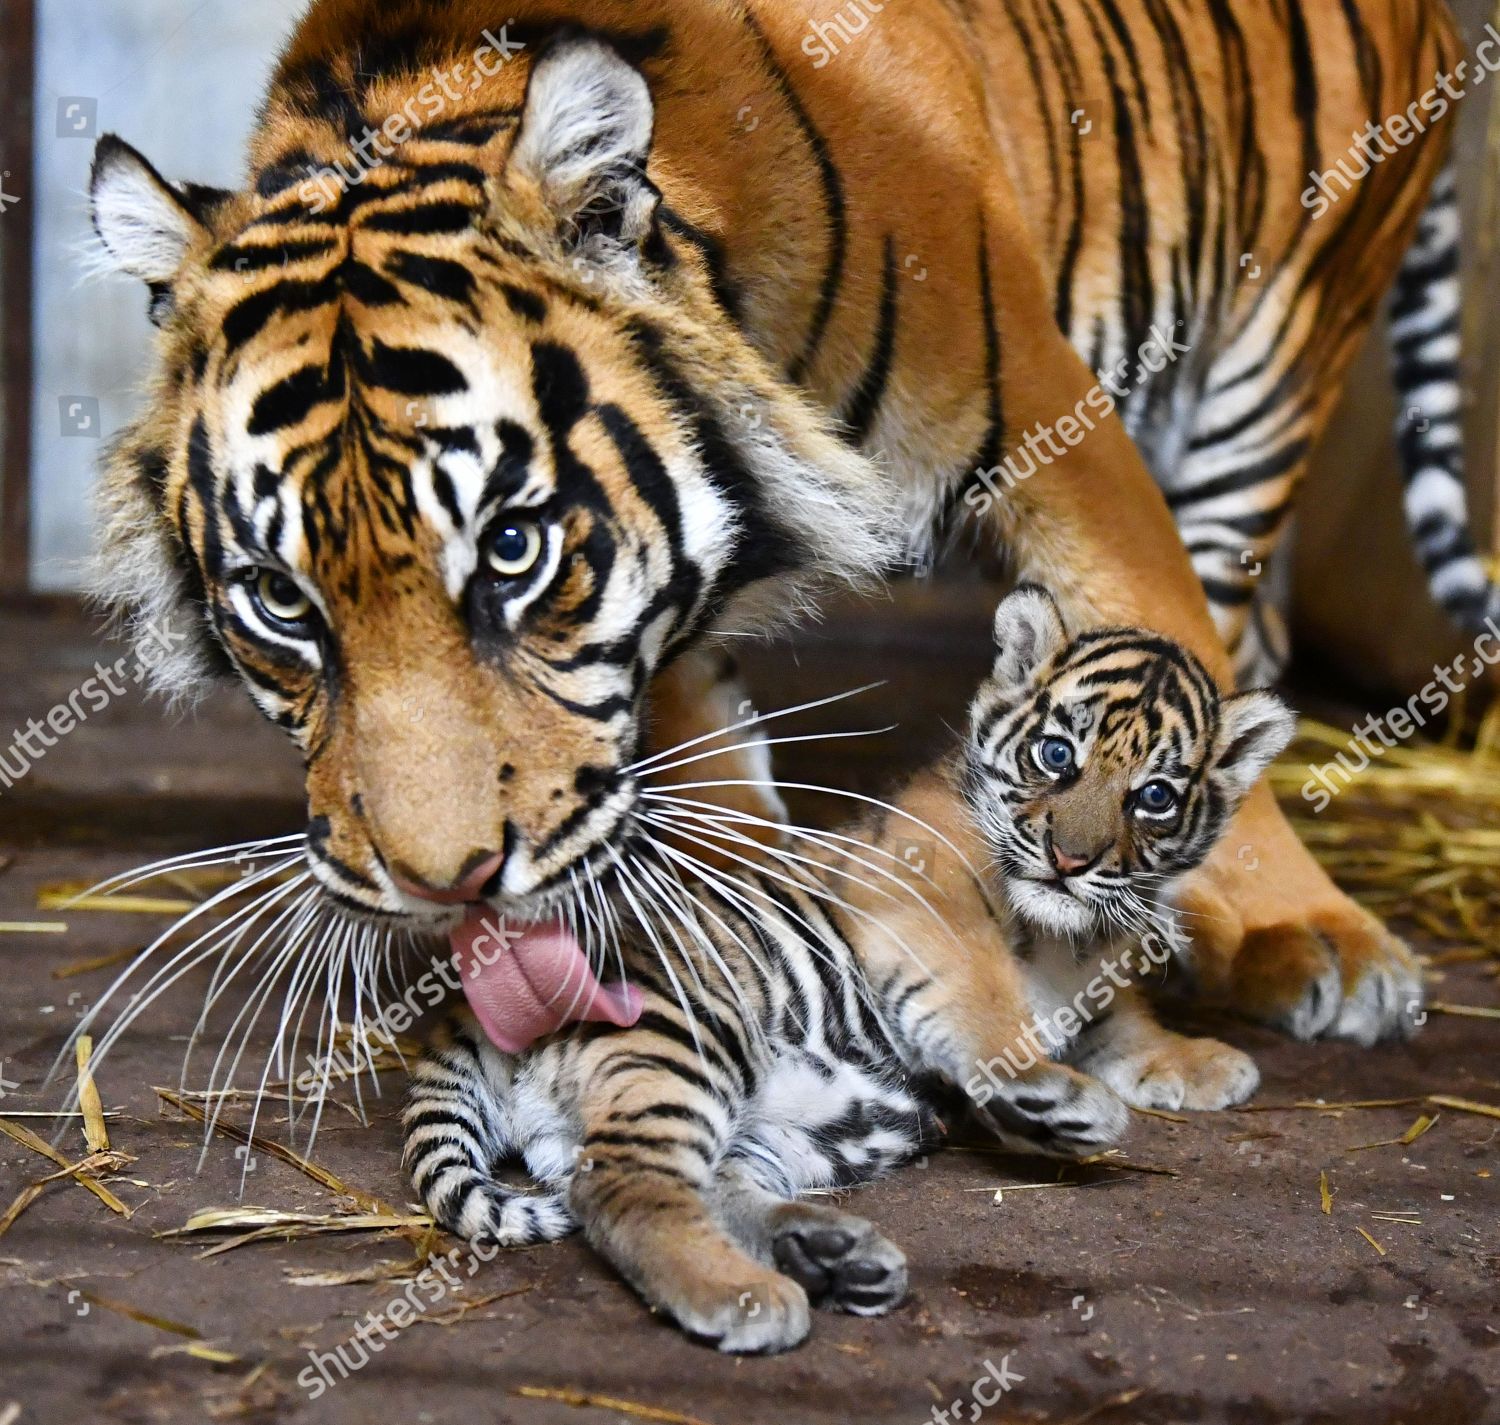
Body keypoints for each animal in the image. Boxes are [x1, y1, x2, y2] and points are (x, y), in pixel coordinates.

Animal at [85, 0, 1476, 1050]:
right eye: (280, 599)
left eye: (514, 548)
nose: (445, 887)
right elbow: (697, 747)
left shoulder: (1055, 418)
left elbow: (1163, 630)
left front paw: (1310, 932)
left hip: (1287, 329)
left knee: (1229, 598)